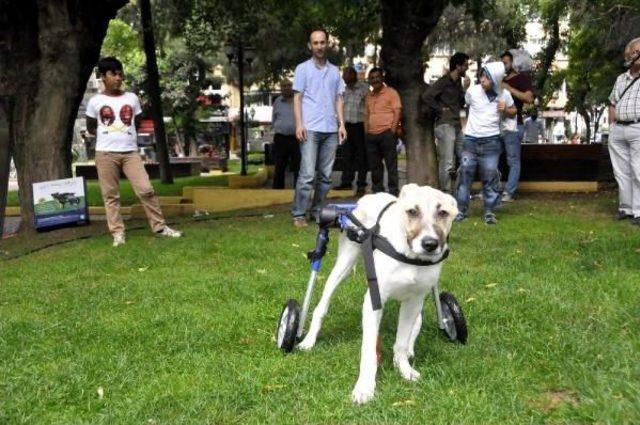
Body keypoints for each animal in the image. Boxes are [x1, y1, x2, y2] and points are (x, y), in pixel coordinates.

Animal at [298, 184, 458, 402]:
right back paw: (308, 341)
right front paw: (365, 387)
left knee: (416, 325)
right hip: (343, 265)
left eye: (443, 213)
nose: (430, 244)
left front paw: (404, 370)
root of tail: (366, 197)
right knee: (321, 307)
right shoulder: (374, 300)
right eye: (412, 211)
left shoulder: (414, 301)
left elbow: (401, 342)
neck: (409, 256)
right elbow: (368, 350)